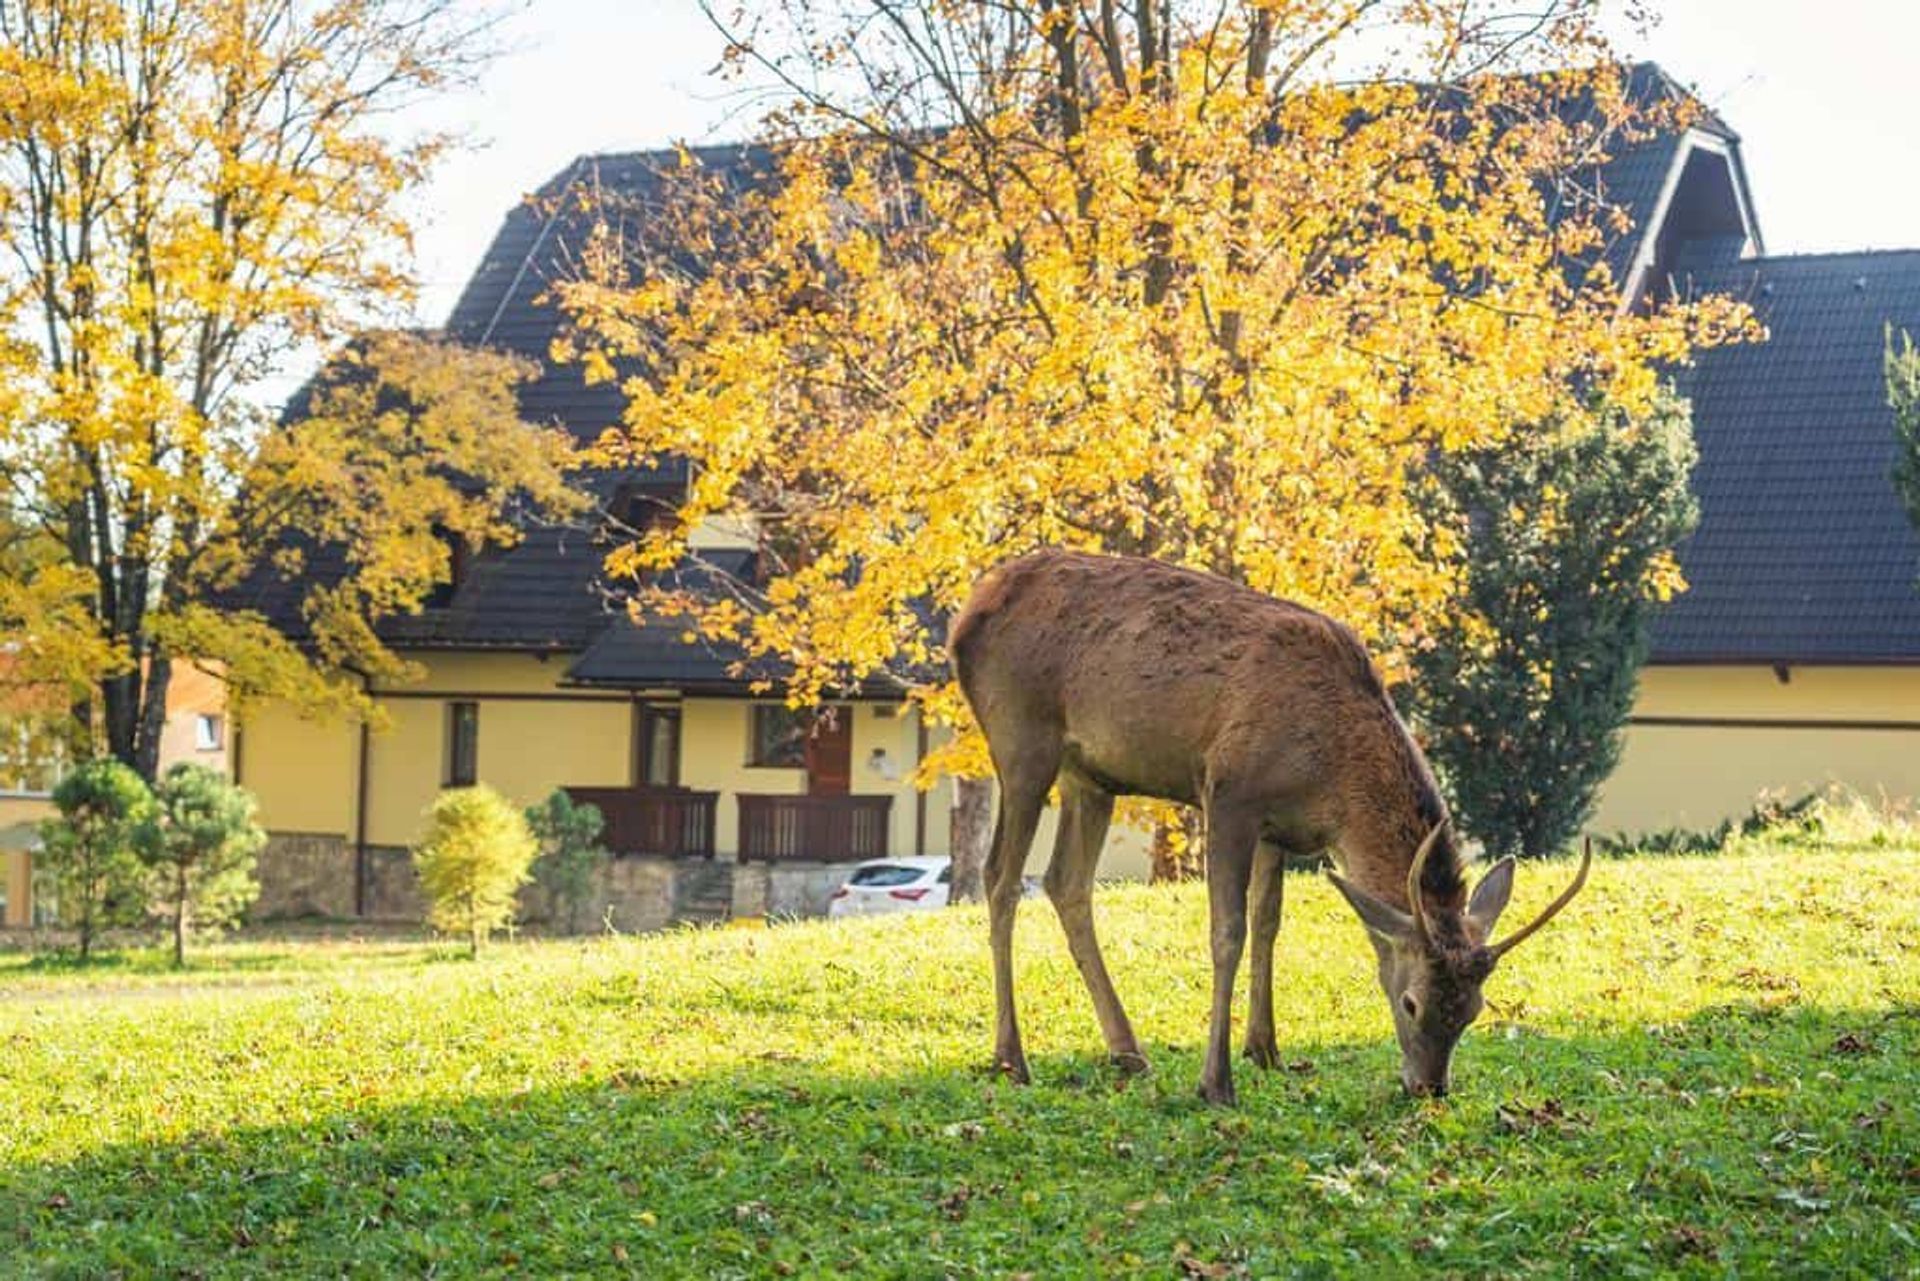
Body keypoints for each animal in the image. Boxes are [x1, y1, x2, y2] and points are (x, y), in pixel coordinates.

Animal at [944, 553, 1589, 1106]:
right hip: (1022, 740)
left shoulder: (1280, 831)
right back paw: (1012, 1057)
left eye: (1475, 1010)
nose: (1429, 1086)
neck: (1331, 783)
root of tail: (965, 619)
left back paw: (1127, 1050)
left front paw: (1267, 1050)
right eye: (1411, 1003)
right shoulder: (1229, 793)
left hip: (1093, 776)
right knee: (999, 877)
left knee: (1065, 882)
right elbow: (1228, 931)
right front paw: (1216, 1082)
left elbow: (1268, 924)